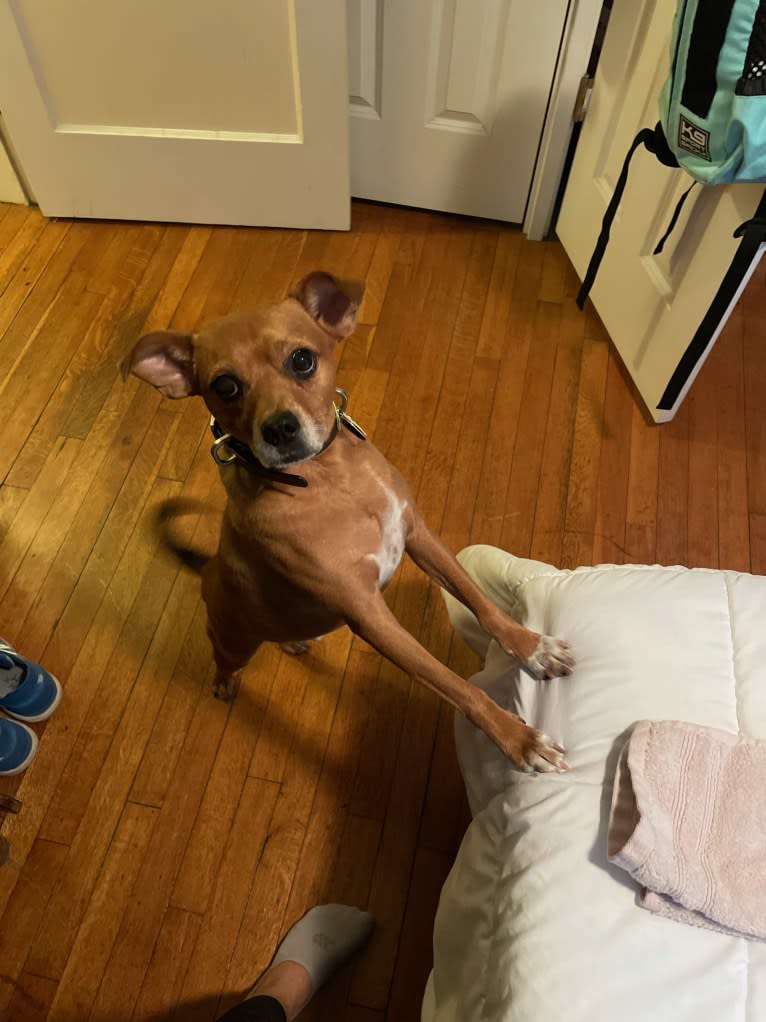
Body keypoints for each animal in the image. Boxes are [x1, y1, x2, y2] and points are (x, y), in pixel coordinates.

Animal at [121, 269, 576, 768]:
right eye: (225, 386)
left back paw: (293, 642)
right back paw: (224, 682)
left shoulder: (419, 536)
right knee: (224, 655)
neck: (329, 482)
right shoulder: (369, 615)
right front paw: (519, 739)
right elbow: (456, 686)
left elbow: (481, 602)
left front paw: (532, 649)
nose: (280, 428)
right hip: (232, 636)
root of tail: (208, 569)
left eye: (302, 359)